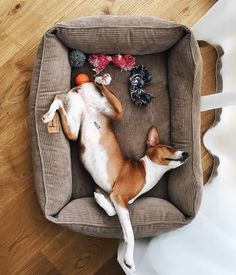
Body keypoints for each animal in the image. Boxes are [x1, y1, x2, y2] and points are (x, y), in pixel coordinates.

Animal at [42, 74, 188, 274]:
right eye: (168, 148)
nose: (186, 153)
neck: (148, 171)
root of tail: (84, 99)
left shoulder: (112, 196)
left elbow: (111, 212)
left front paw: (99, 200)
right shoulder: (119, 197)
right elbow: (130, 235)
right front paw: (129, 260)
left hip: (74, 127)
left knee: (58, 99)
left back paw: (52, 112)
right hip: (117, 113)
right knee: (94, 95)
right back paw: (101, 79)